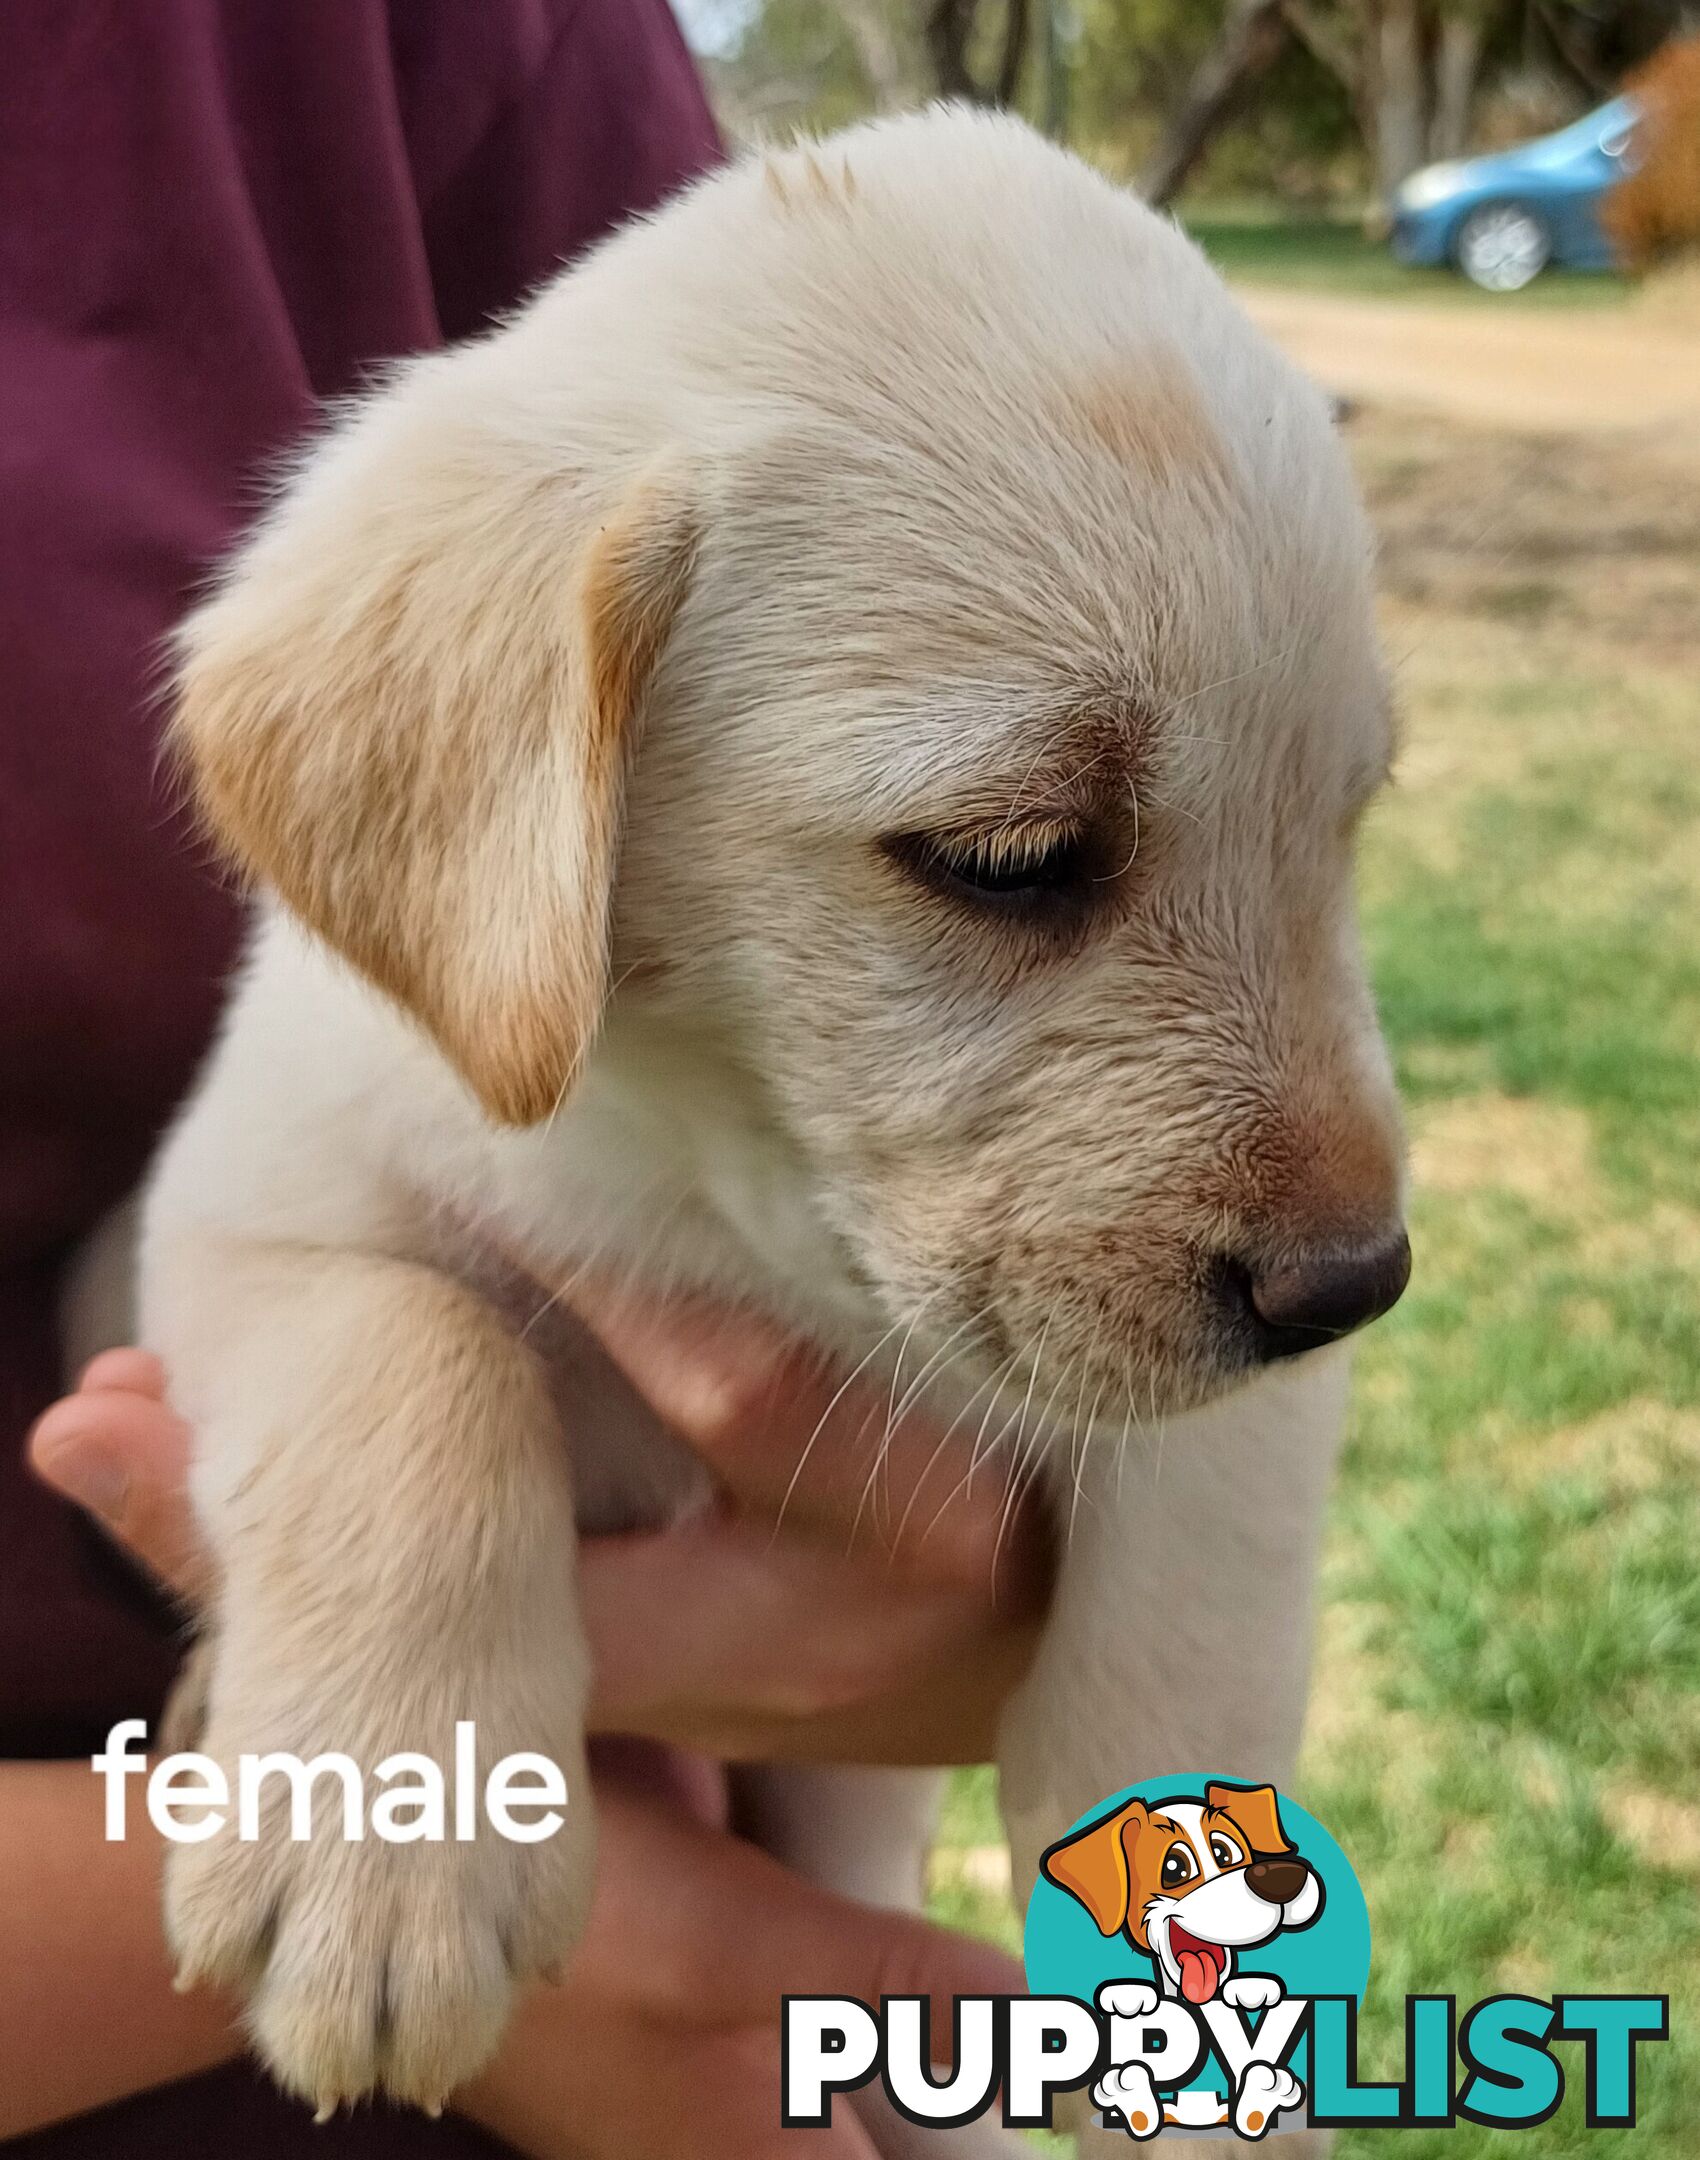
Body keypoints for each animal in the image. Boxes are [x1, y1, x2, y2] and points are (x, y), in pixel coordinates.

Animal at [136, 113, 1408, 2142]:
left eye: (1347, 824)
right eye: (1013, 859)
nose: (1362, 1281)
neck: (709, 1189)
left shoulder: (1243, 1392)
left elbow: (1212, 1543)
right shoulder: (237, 1218)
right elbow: (417, 1350)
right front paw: (389, 1851)